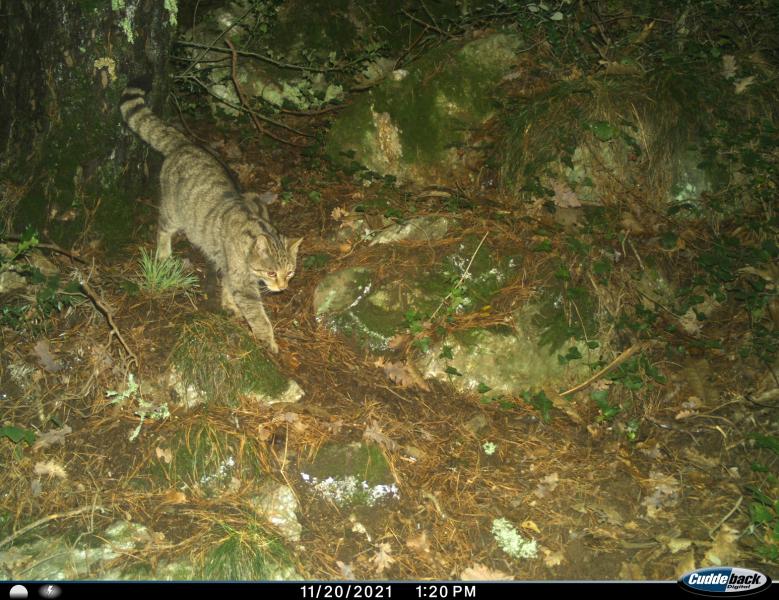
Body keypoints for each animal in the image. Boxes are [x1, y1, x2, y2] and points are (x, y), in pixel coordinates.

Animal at [120, 79, 300, 352]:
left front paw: (229, 304)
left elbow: (226, 284)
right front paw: (268, 340)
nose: (283, 287)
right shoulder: (243, 281)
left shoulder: (229, 266)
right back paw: (164, 253)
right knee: (162, 228)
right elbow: (257, 315)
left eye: (289, 272)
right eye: (271, 273)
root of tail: (184, 143)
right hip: (174, 211)